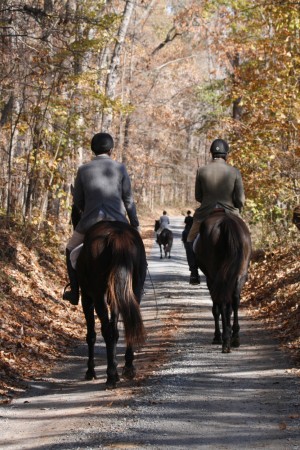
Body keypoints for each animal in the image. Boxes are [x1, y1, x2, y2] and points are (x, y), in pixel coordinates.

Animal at [75, 220, 147, 388]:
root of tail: (116, 234)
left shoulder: (87, 298)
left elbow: (91, 335)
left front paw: (90, 371)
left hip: (97, 295)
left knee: (107, 331)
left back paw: (111, 376)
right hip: (135, 288)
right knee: (126, 325)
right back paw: (127, 368)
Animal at [193, 209, 252, 354]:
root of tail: (227, 221)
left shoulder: (211, 280)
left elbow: (216, 309)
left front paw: (217, 336)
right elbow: (230, 308)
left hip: (216, 276)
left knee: (222, 302)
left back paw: (225, 340)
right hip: (240, 274)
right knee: (235, 300)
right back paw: (235, 338)